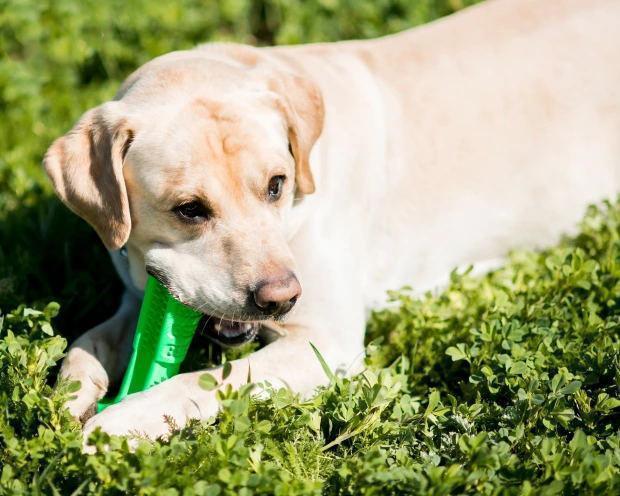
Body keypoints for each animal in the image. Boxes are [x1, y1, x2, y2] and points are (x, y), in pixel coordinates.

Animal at [44, 0, 620, 442]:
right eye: (190, 209)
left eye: (276, 184)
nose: (280, 297)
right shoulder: (134, 297)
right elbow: (85, 344)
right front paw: (68, 398)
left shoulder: (323, 341)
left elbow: (205, 379)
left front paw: (121, 422)